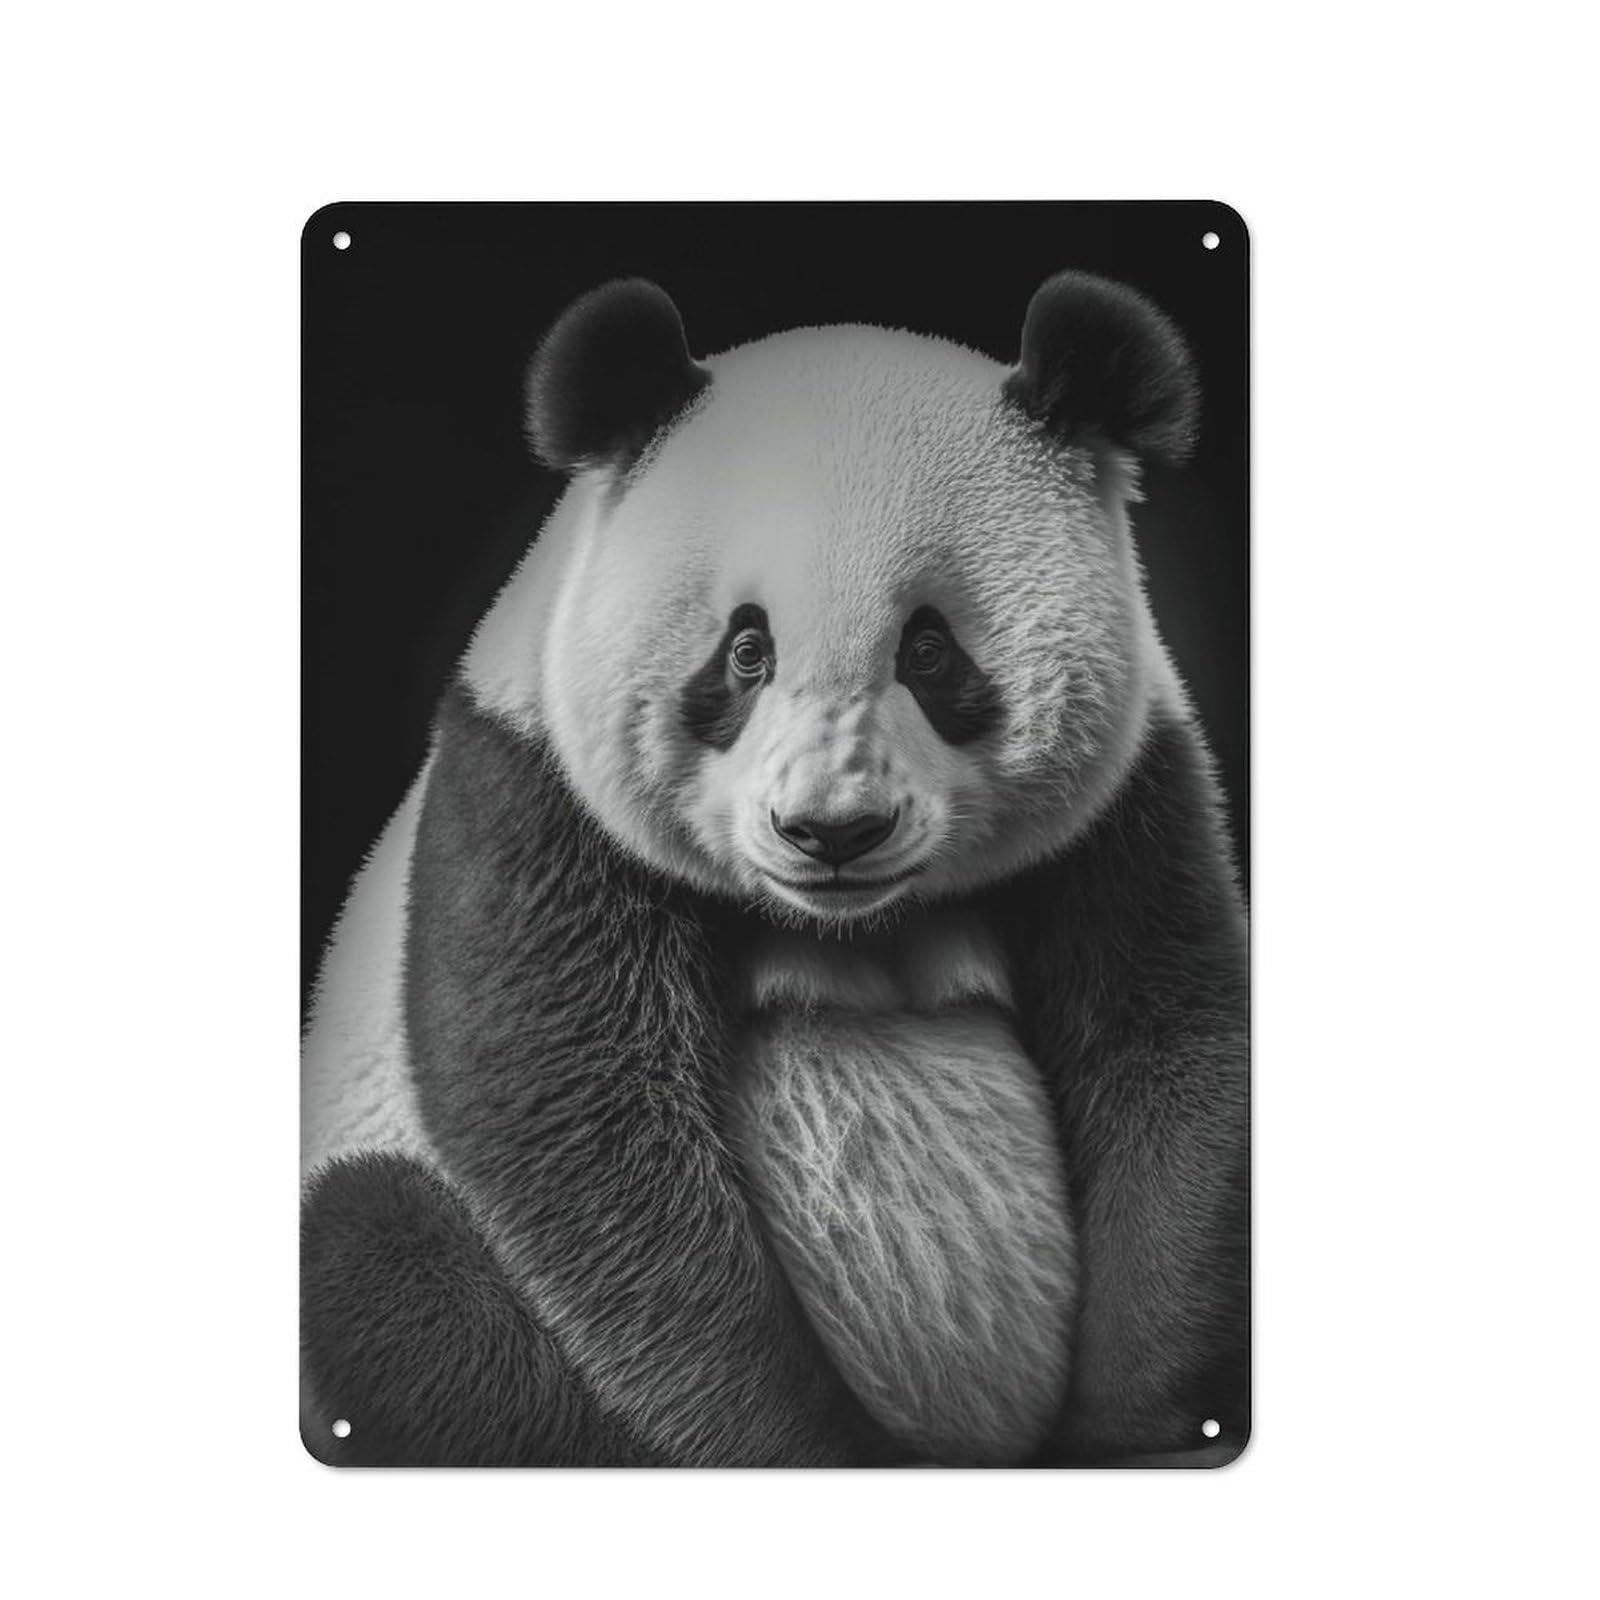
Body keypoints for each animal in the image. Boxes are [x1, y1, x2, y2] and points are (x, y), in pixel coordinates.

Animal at [300, 270, 1249, 1468]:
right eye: (746, 652)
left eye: (929, 649)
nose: (831, 832)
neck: (853, 919)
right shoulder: (534, 795)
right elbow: (586, 1133)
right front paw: (793, 1441)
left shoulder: (1128, 800)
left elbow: (1168, 1048)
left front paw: (1136, 1422)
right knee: (378, 1264)